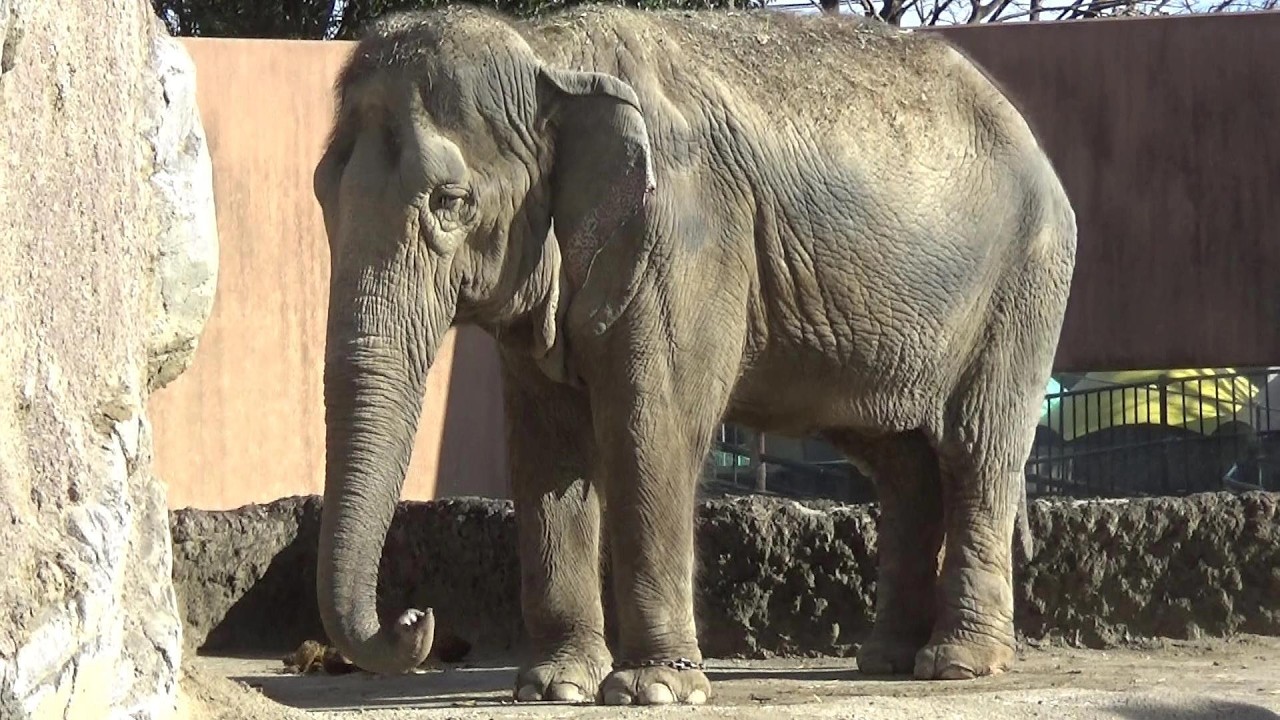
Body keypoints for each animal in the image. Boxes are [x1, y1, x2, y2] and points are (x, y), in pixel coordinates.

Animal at [310, 4, 1077, 708]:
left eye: (451, 201)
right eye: (322, 196)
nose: (416, 616)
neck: (549, 57)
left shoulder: (685, 237)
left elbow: (653, 428)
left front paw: (652, 690)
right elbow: (545, 447)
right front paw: (555, 687)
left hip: (1023, 285)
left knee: (977, 451)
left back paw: (955, 665)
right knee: (901, 463)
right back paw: (885, 659)